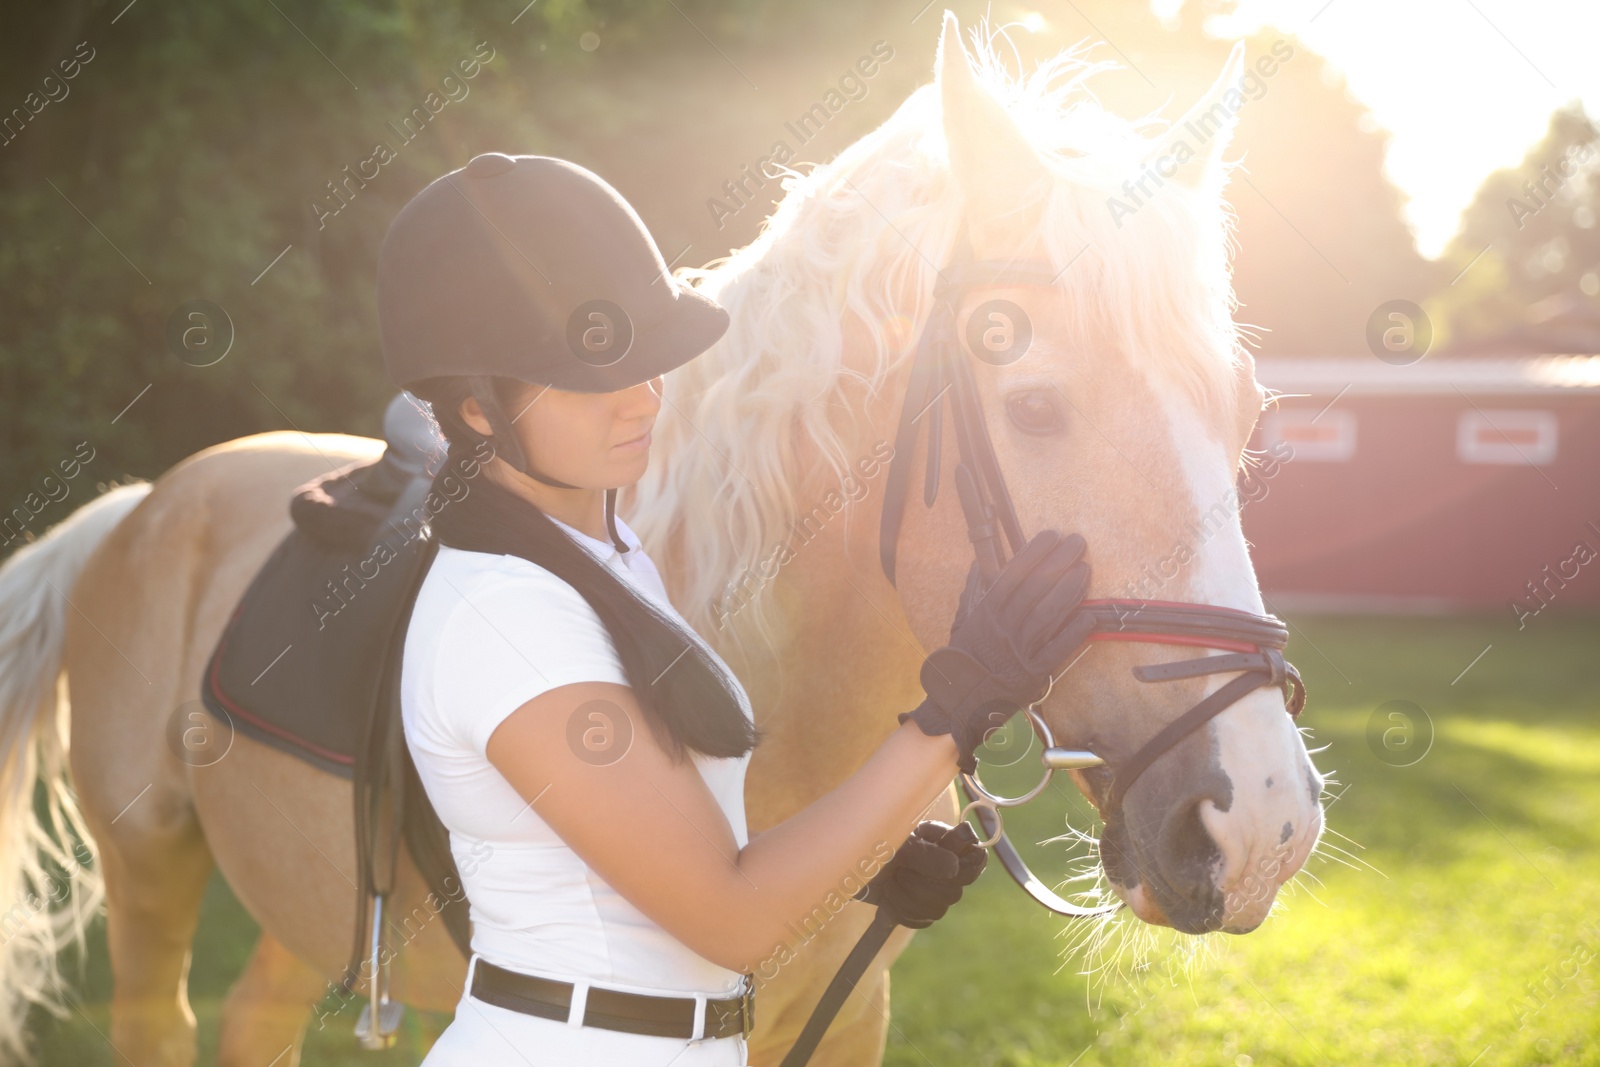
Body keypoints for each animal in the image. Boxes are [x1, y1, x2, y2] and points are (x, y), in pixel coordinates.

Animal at [0, 16, 1324, 1067]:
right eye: (1037, 405)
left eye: (1246, 412)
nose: (1259, 826)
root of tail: (147, 501)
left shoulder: (843, 1021)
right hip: (148, 867)